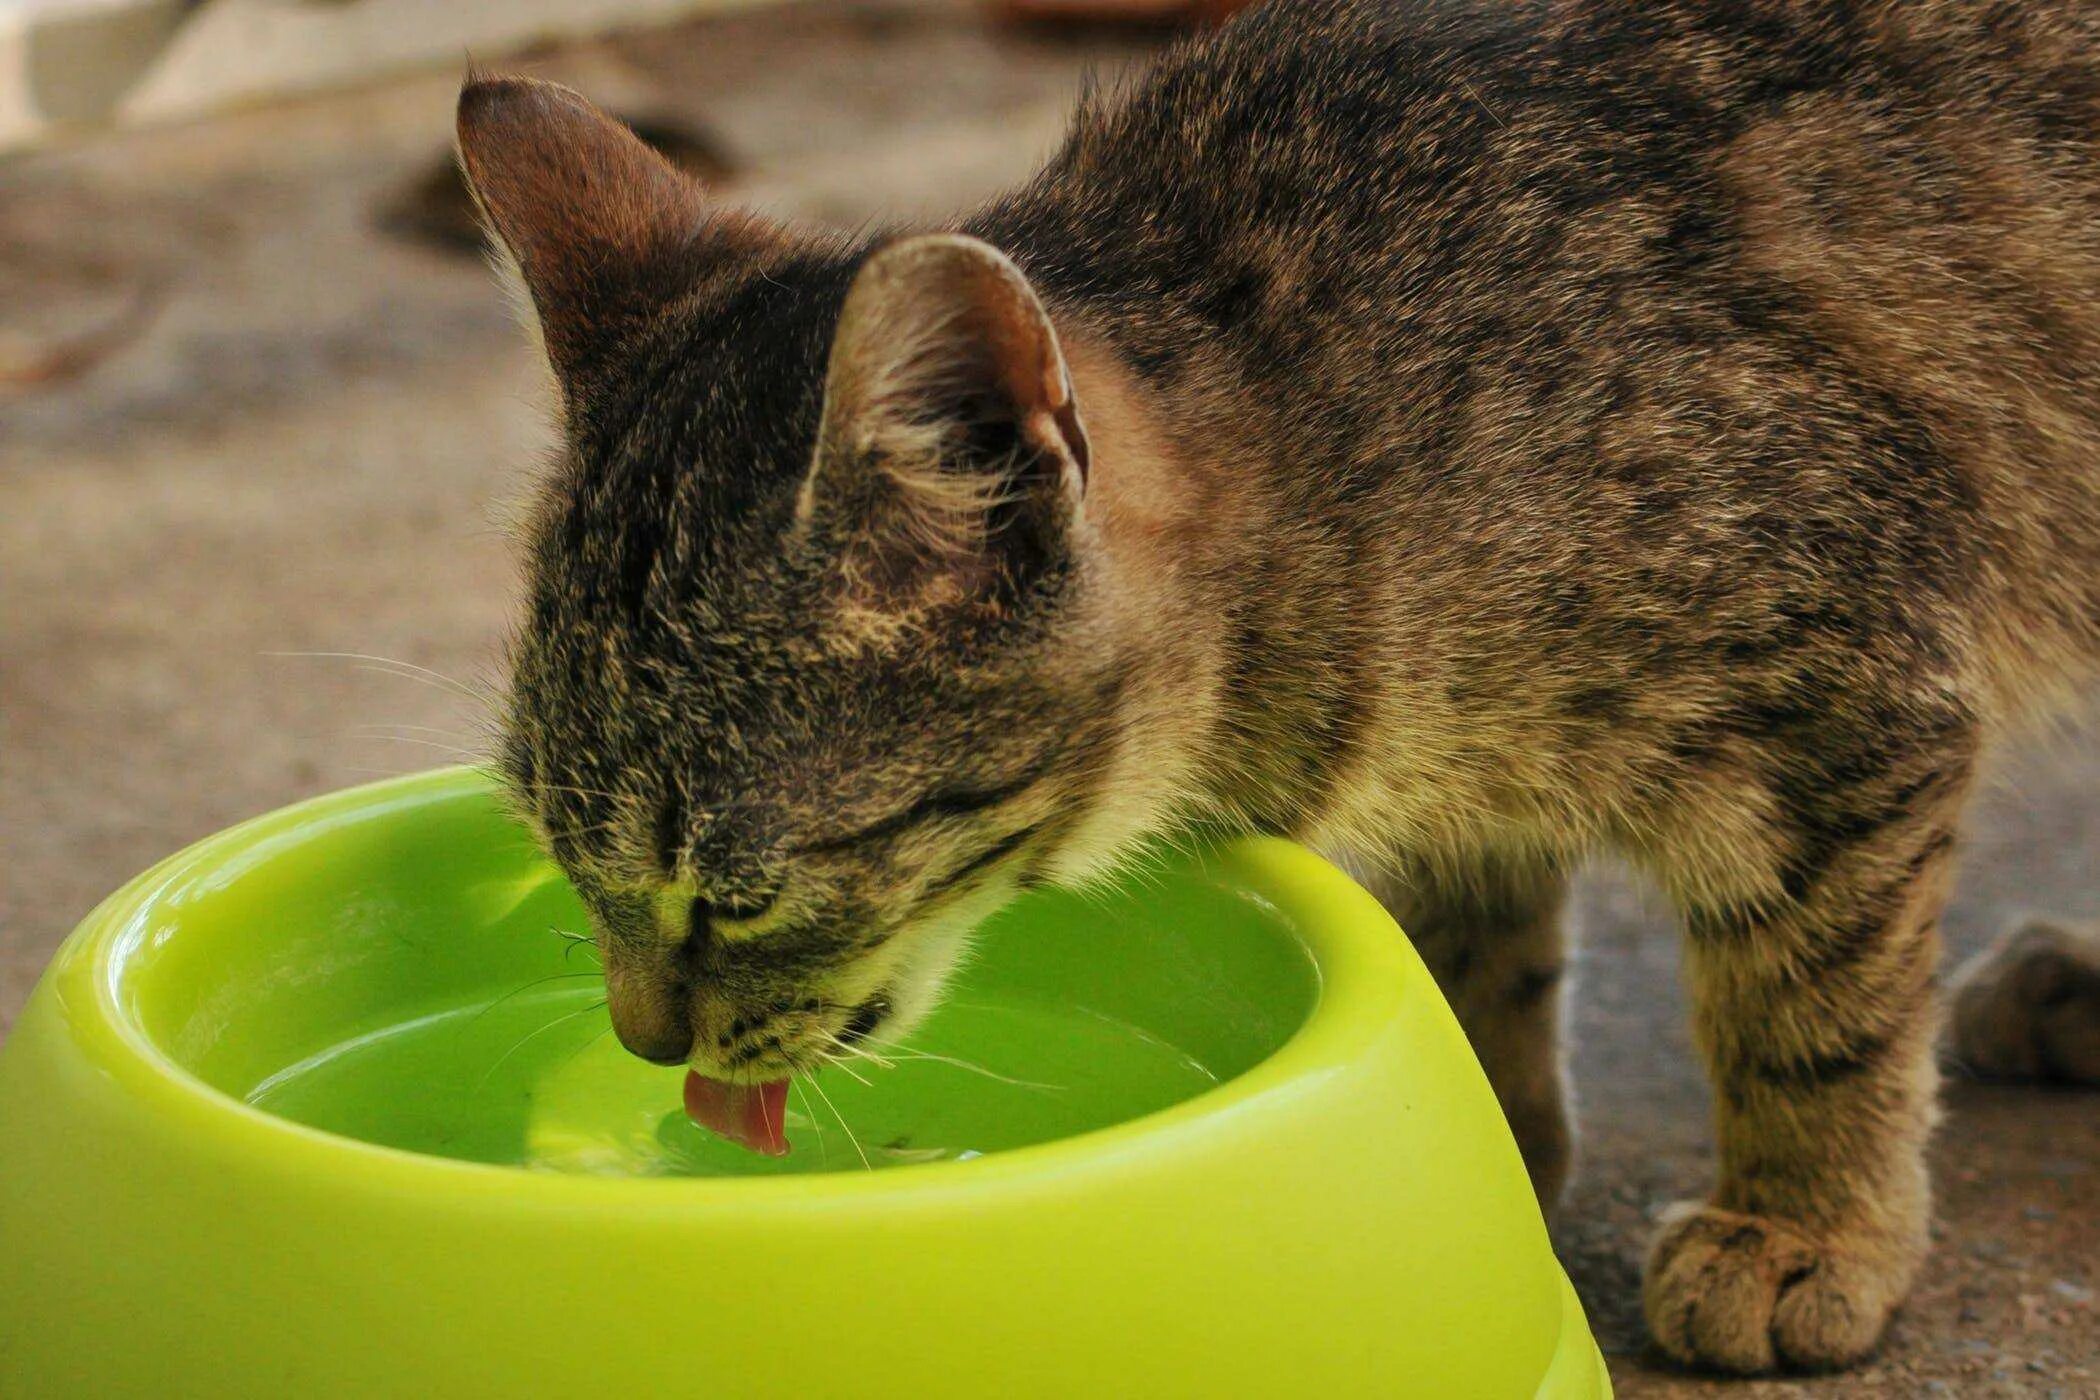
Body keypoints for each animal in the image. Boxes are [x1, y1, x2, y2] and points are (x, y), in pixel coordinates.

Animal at [464, 0, 2100, 1376]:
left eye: (735, 895)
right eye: (557, 851)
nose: (640, 1038)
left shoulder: (1852, 677)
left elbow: (1812, 997)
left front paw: (1803, 1220)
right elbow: (1474, 940)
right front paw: (1487, 1125)